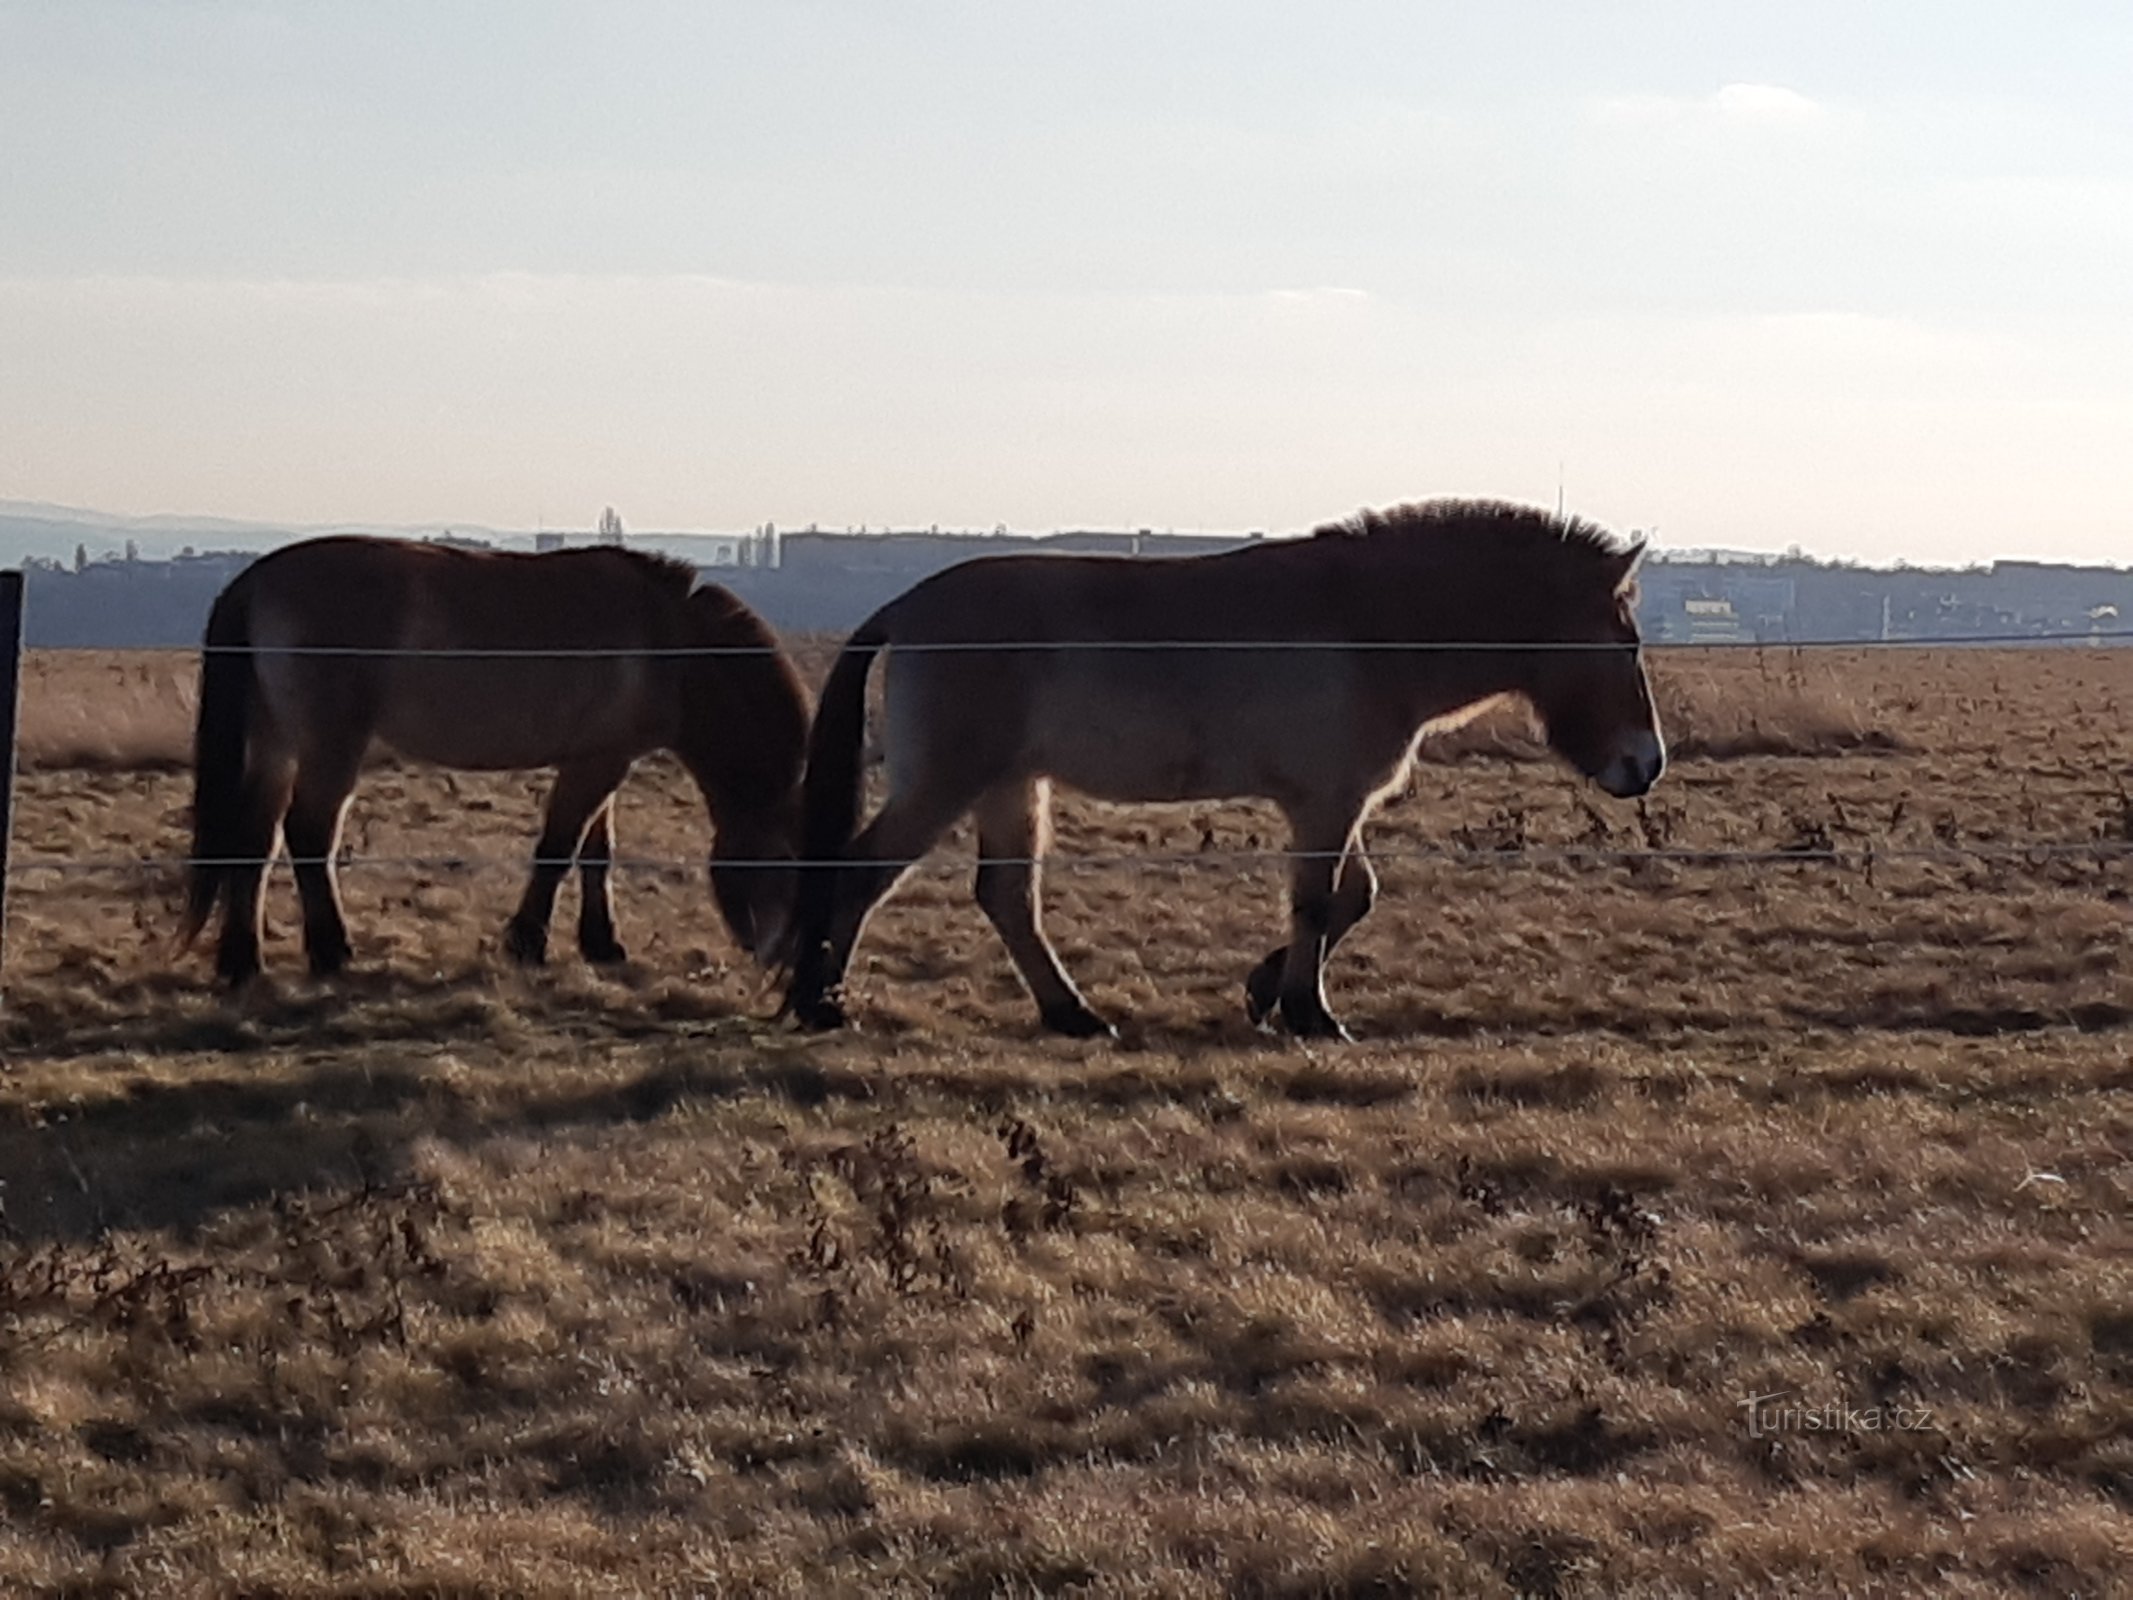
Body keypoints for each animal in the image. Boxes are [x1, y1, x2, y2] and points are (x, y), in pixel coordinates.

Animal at [179, 539, 810, 989]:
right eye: (788, 862)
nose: (782, 957)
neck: (672, 643)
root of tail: (253, 583)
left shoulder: (603, 758)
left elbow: (595, 854)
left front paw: (601, 943)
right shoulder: (598, 764)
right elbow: (559, 849)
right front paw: (528, 943)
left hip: (274, 746)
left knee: (253, 839)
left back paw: (242, 961)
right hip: (329, 748)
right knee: (308, 835)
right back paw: (331, 951)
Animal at [784, 501, 1663, 1045]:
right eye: (1623, 643)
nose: (1645, 764)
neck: (1371, 623)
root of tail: (905, 608)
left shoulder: (1331, 804)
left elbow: (1354, 898)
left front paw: (1263, 991)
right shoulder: (1325, 805)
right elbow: (1318, 903)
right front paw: (1310, 1013)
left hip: (1011, 788)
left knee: (1006, 898)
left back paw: (1072, 1014)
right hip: (945, 785)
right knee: (861, 872)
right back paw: (820, 1002)